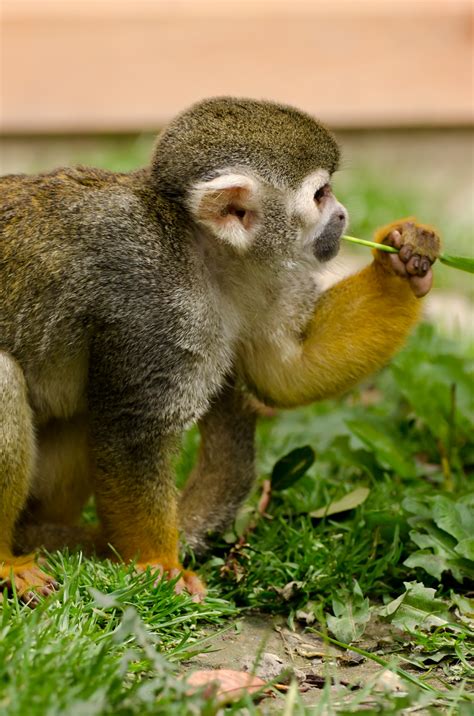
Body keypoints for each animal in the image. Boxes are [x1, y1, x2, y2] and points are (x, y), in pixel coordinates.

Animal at [0, 96, 440, 600]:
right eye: (320, 195)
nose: (344, 216)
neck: (202, 249)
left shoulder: (262, 277)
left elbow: (286, 373)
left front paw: (402, 261)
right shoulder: (155, 301)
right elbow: (134, 431)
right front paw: (158, 562)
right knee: (7, 378)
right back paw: (9, 561)